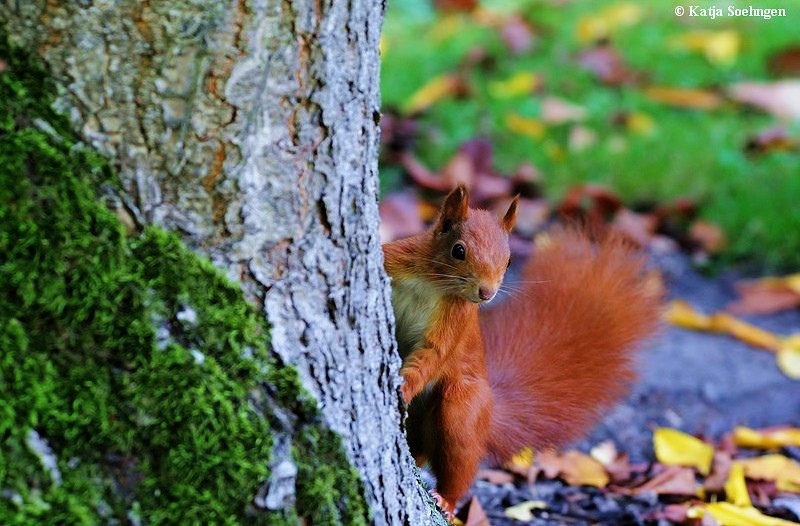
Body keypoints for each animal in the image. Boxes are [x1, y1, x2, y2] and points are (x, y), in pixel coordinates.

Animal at [382, 184, 664, 516]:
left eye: (508, 261)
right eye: (458, 251)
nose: (486, 293)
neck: (433, 282)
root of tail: (490, 411)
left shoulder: (455, 319)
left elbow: (433, 354)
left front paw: (404, 386)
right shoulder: (397, 259)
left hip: (463, 407)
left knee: (458, 451)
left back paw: (446, 499)